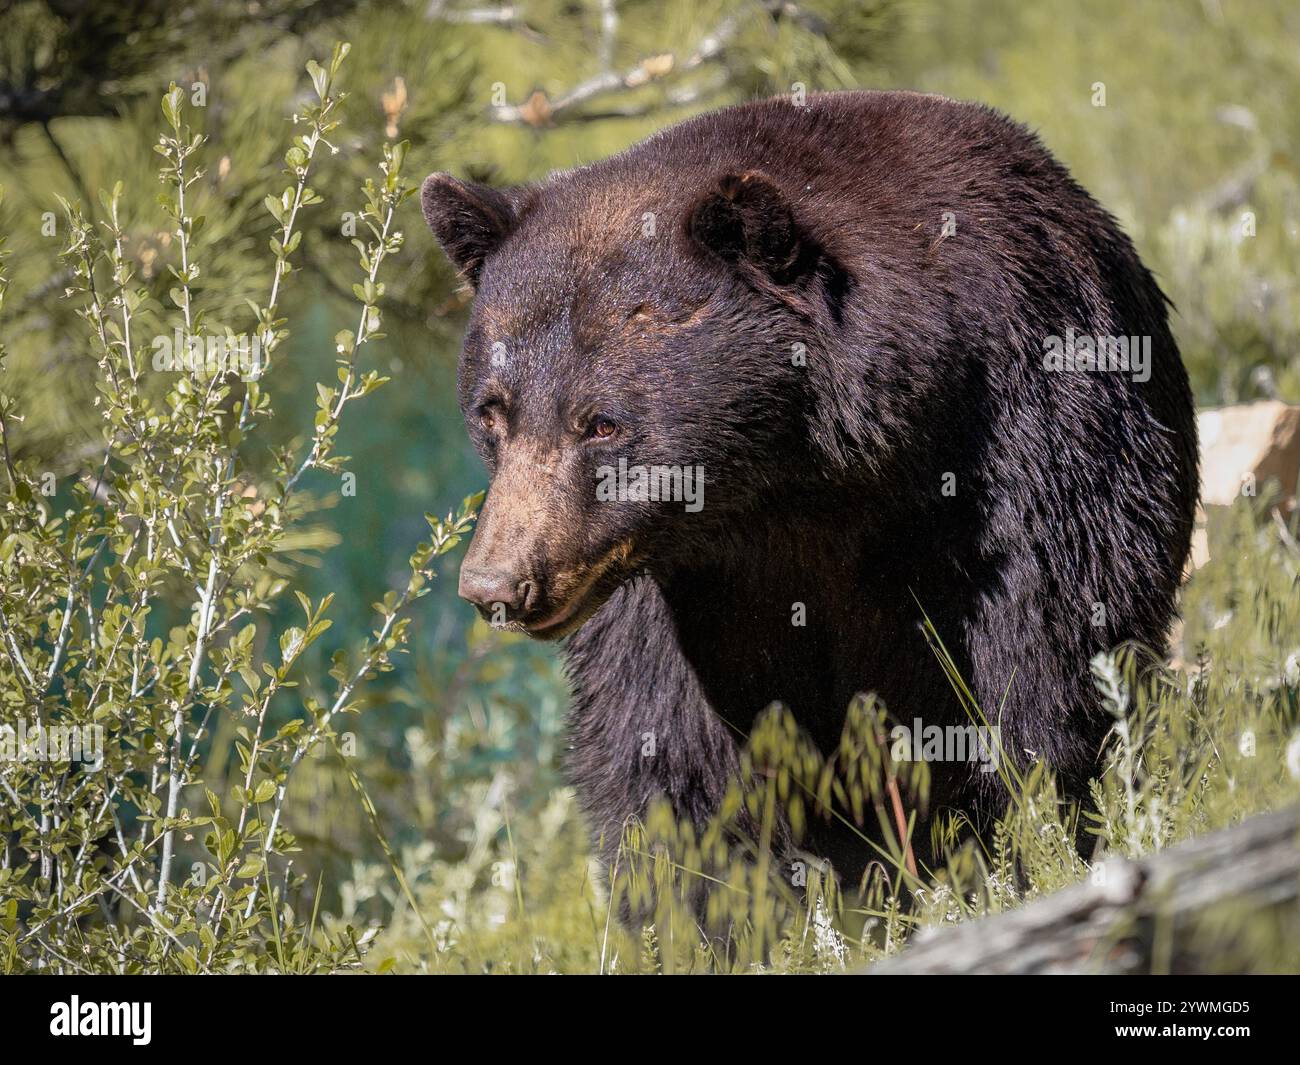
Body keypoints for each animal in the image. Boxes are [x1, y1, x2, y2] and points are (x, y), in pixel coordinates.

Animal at [423, 91, 1196, 889]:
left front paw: (1028, 843)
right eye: (493, 411)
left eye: (602, 422)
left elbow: (1042, 663)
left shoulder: (1024, 448)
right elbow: (666, 750)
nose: (496, 583)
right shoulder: (668, 598)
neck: (798, 490)